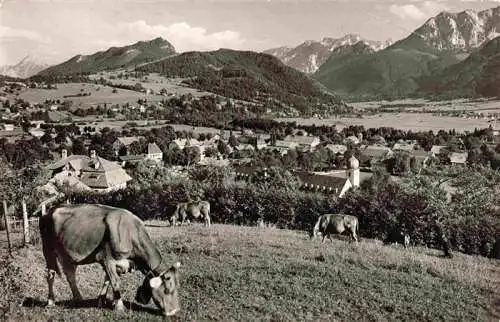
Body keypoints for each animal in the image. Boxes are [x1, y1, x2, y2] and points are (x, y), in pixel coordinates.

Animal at [39, 204, 183, 316]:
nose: (175, 311)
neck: (130, 232)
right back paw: (51, 301)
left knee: (70, 275)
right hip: (48, 249)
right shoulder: (106, 258)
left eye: (177, 288)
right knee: (50, 275)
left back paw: (79, 299)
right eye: (167, 290)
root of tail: (49, 211)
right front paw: (119, 306)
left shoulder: (118, 263)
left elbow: (107, 280)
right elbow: (115, 281)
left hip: (67, 254)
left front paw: (103, 300)